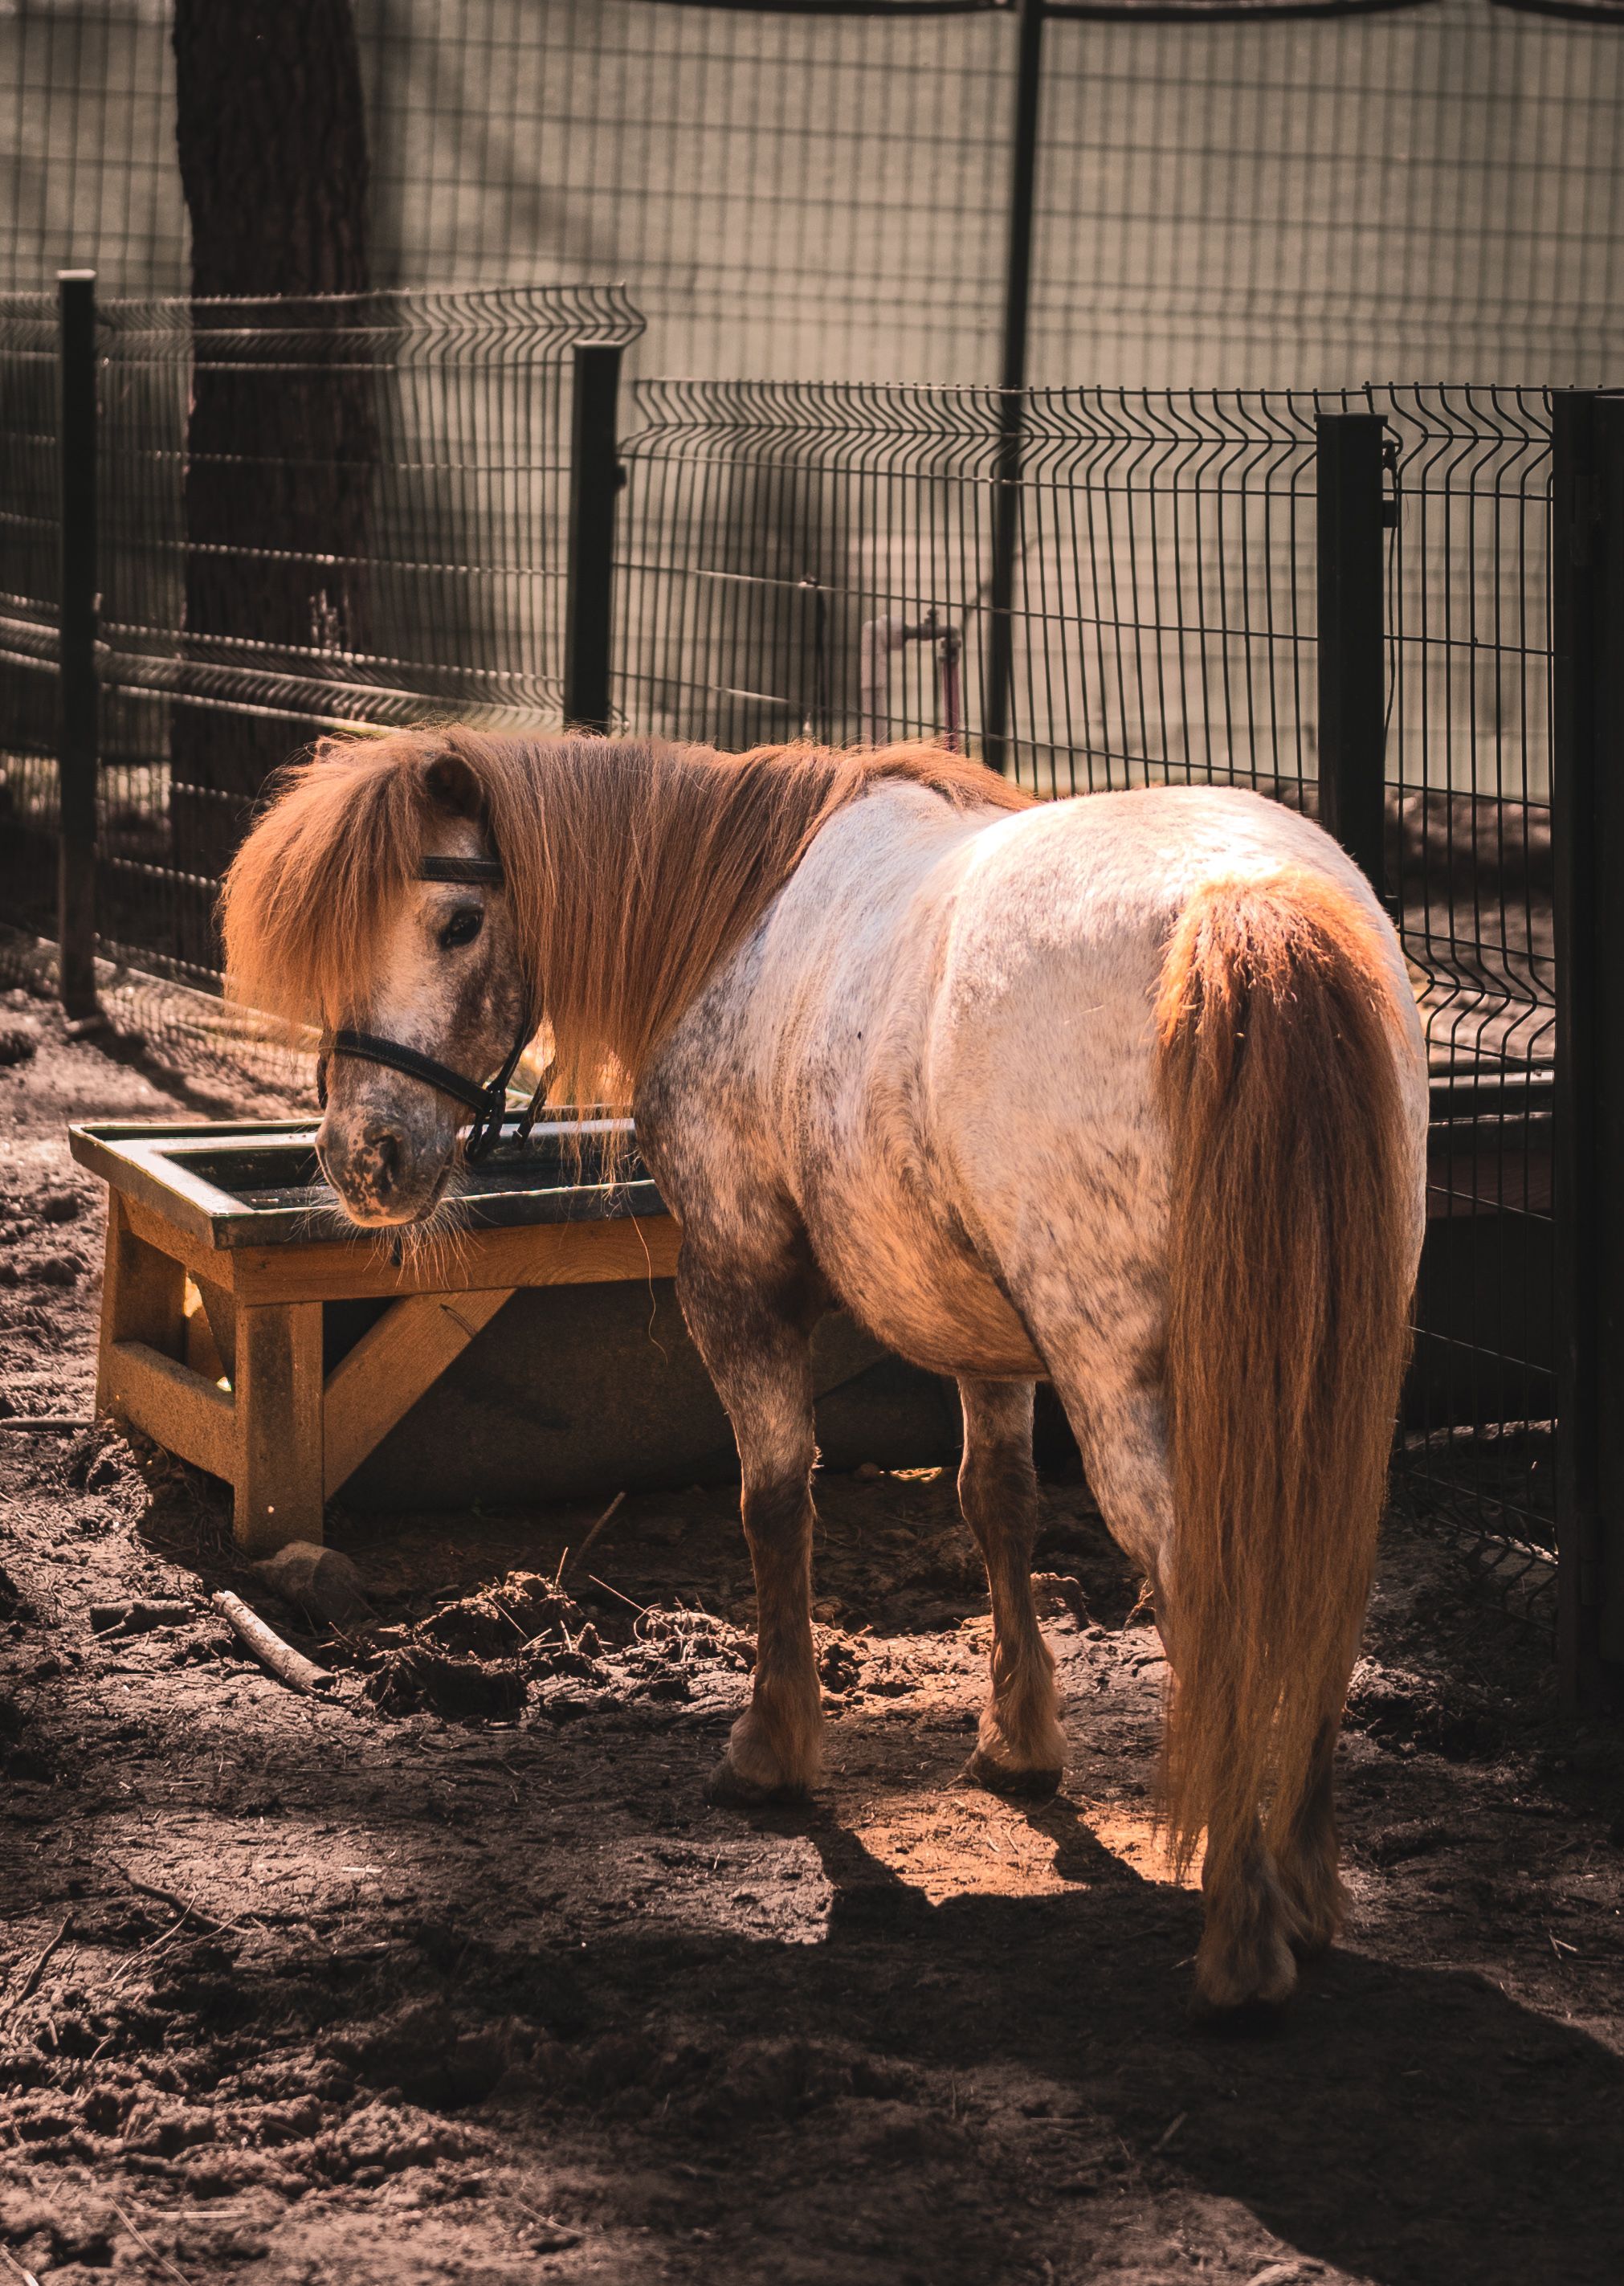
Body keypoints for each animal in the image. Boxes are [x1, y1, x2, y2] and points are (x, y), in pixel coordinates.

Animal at [221, 727, 1427, 2018]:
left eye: (454, 921)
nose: (364, 1158)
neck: (733, 917)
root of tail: (1243, 904)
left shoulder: (735, 1279)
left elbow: (773, 1505)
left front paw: (774, 1746)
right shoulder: (985, 1331)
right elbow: (995, 1505)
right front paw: (1018, 1742)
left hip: (1126, 1377)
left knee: (1209, 1582)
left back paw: (1243, 1929)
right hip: (1328, 1374)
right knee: (1324, 1572)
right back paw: (1306, 1885)